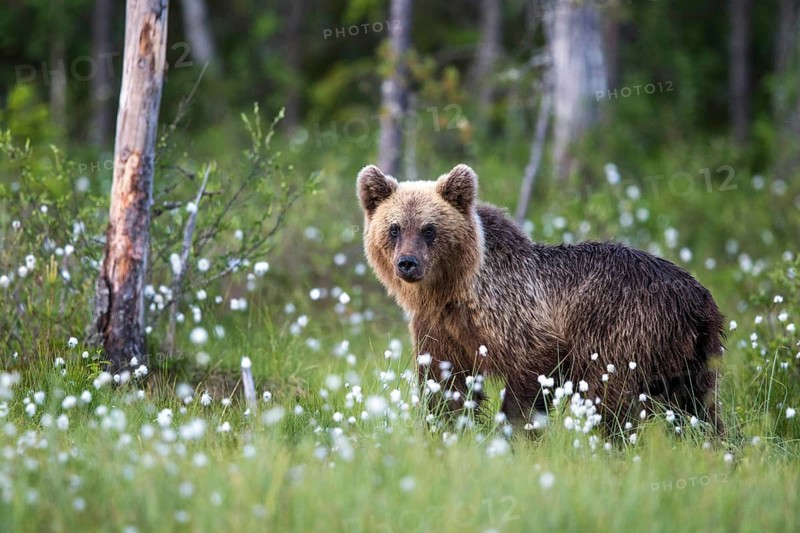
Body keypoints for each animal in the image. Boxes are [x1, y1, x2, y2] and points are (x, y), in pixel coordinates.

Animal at [357, 163, 725, 436]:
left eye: (429, 229)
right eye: (394, 228)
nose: (407, 263)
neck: (454, 291)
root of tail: (700, 297)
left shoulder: (519, 319)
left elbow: (527, 381)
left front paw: (514, 432)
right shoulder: (439, 328)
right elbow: (444, 383)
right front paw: (448, 430)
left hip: (621, 330)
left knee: (611, 399)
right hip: (689, 354)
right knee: (697, 404)